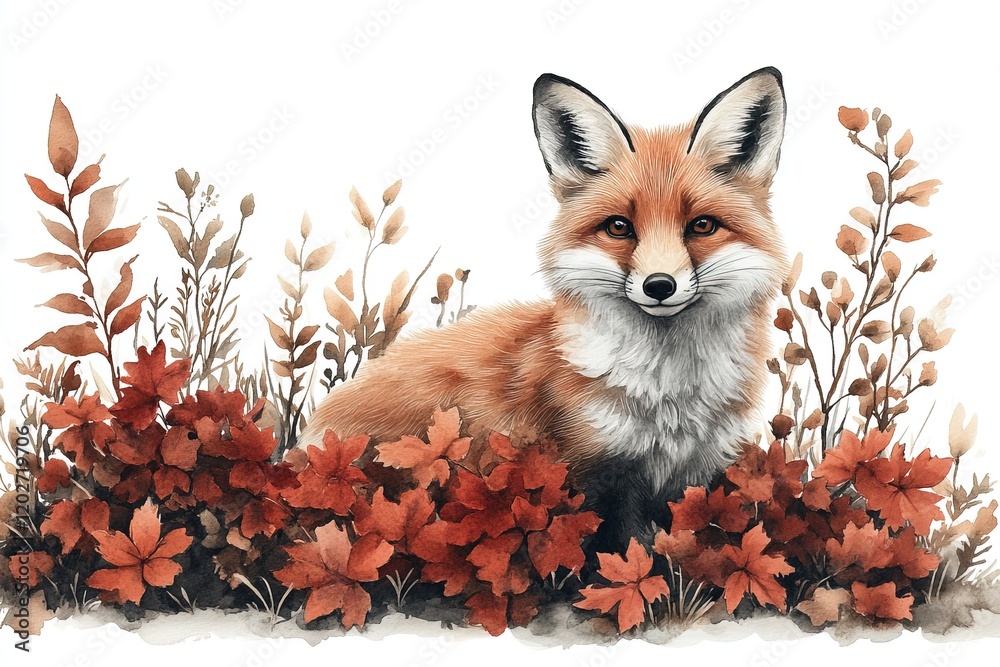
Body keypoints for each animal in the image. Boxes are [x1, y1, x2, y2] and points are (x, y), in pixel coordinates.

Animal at [301, 67, 788, 551]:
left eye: (702, 225)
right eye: (619, 227)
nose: (659, 286)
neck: (670, 398)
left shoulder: (703, 474)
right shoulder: (594, 471)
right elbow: (614, 552)